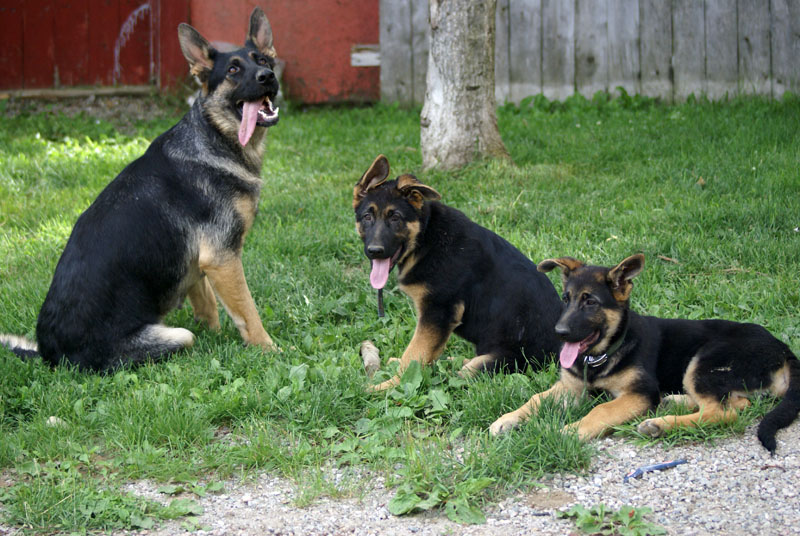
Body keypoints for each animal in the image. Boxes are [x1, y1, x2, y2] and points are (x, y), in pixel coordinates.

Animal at [0, 8, 282, 370]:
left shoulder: (200, 264)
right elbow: (248, 311)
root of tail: (51, 356)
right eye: (233, 70)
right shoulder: (223, 259)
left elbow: (207, 304)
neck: (214, 137)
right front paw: (269, 350)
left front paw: (217, 337)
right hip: (177, 336)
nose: (268, 76)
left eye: (263, 60)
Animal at [350, 154, 564, 390]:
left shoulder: (438, 312)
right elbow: (419, 353)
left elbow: (414, 353)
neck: (425, 237)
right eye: (367, 217)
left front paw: (390, 385)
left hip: (495, 362)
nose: (375, 251)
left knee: (460, 374)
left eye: (395, 217)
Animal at [488, 254, 800, 452]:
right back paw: (673, 402)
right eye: (566, 299)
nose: (559, 332)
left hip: (705, 361)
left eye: (590, 302)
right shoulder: (570, 388)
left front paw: (572, 431)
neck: (602, 355)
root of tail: (782, 348)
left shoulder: (639, 393)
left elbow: (601, 410)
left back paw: (659, 424)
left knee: (723, 412)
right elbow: (535, 399)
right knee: (738, 403)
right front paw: (507, 419)